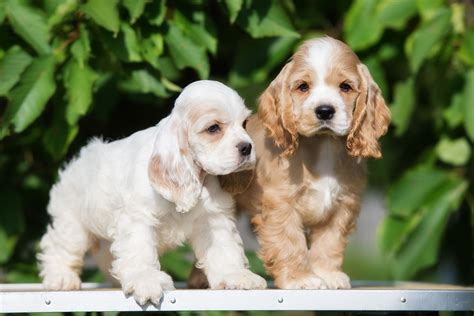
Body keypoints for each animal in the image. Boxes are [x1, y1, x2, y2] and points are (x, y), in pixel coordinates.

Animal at [38, 80, 266, 304]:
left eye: (244, 124)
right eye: (213, 128)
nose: (247, 147)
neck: (197, 176)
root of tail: (76, 162)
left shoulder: (213, 218)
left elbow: (224, 249)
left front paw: (236, 275)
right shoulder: (138, 218)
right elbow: (140, 250)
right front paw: (146, 280)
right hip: (73, 225)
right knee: (59, 246)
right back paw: (61, 278)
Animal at [217, 36, 390, 288]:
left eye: (345, 87)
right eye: (303, 87)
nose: (325, 111)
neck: (323, 146)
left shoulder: (343, 205)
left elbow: (330, 242)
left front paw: (328, 274)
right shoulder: (281, 204)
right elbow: (290, 242)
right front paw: (301, 279)